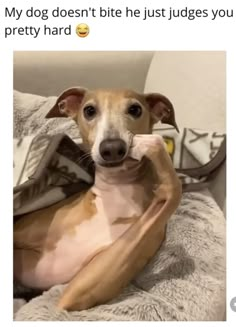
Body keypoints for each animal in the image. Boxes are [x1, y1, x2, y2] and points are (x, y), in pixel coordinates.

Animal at [13, 88, 182, 312]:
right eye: (89, 110)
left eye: (135, 109)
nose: (112, 148)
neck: (116, 195)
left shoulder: (77, 291)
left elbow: (173, 188)